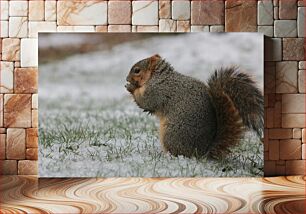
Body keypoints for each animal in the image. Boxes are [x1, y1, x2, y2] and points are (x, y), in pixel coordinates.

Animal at [125, 54, 264, 159]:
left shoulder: (157, 90)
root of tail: (203, 151)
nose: (126, 79)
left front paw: (131, 88)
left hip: (172, 134)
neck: (157, 76)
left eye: (137, 70)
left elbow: (146, 101)